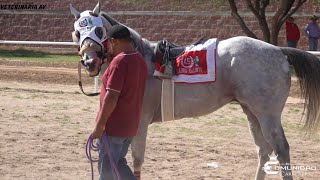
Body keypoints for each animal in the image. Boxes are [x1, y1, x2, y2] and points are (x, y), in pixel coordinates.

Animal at [70, 2, 320, 180]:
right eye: (77, 32)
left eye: (99, 29)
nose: (89, 61)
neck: (142, 57)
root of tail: (278, 50)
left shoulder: (140, 123)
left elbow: (137, 161)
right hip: (251, 112)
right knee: (264, 150)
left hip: (268, 115)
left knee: (281, 149)